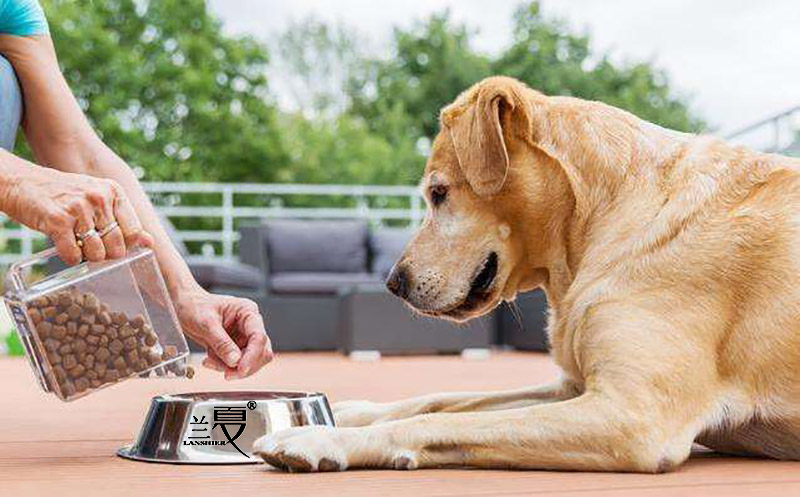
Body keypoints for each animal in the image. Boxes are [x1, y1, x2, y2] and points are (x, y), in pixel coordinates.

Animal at [253, 75, 800, 470]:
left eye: (438, 193)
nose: (393, 283)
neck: (603, 218)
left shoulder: (633, 416)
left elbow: (440, 424)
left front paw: (321, 437)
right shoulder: (572, 388)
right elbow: (440, 400)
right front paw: (350, 412)